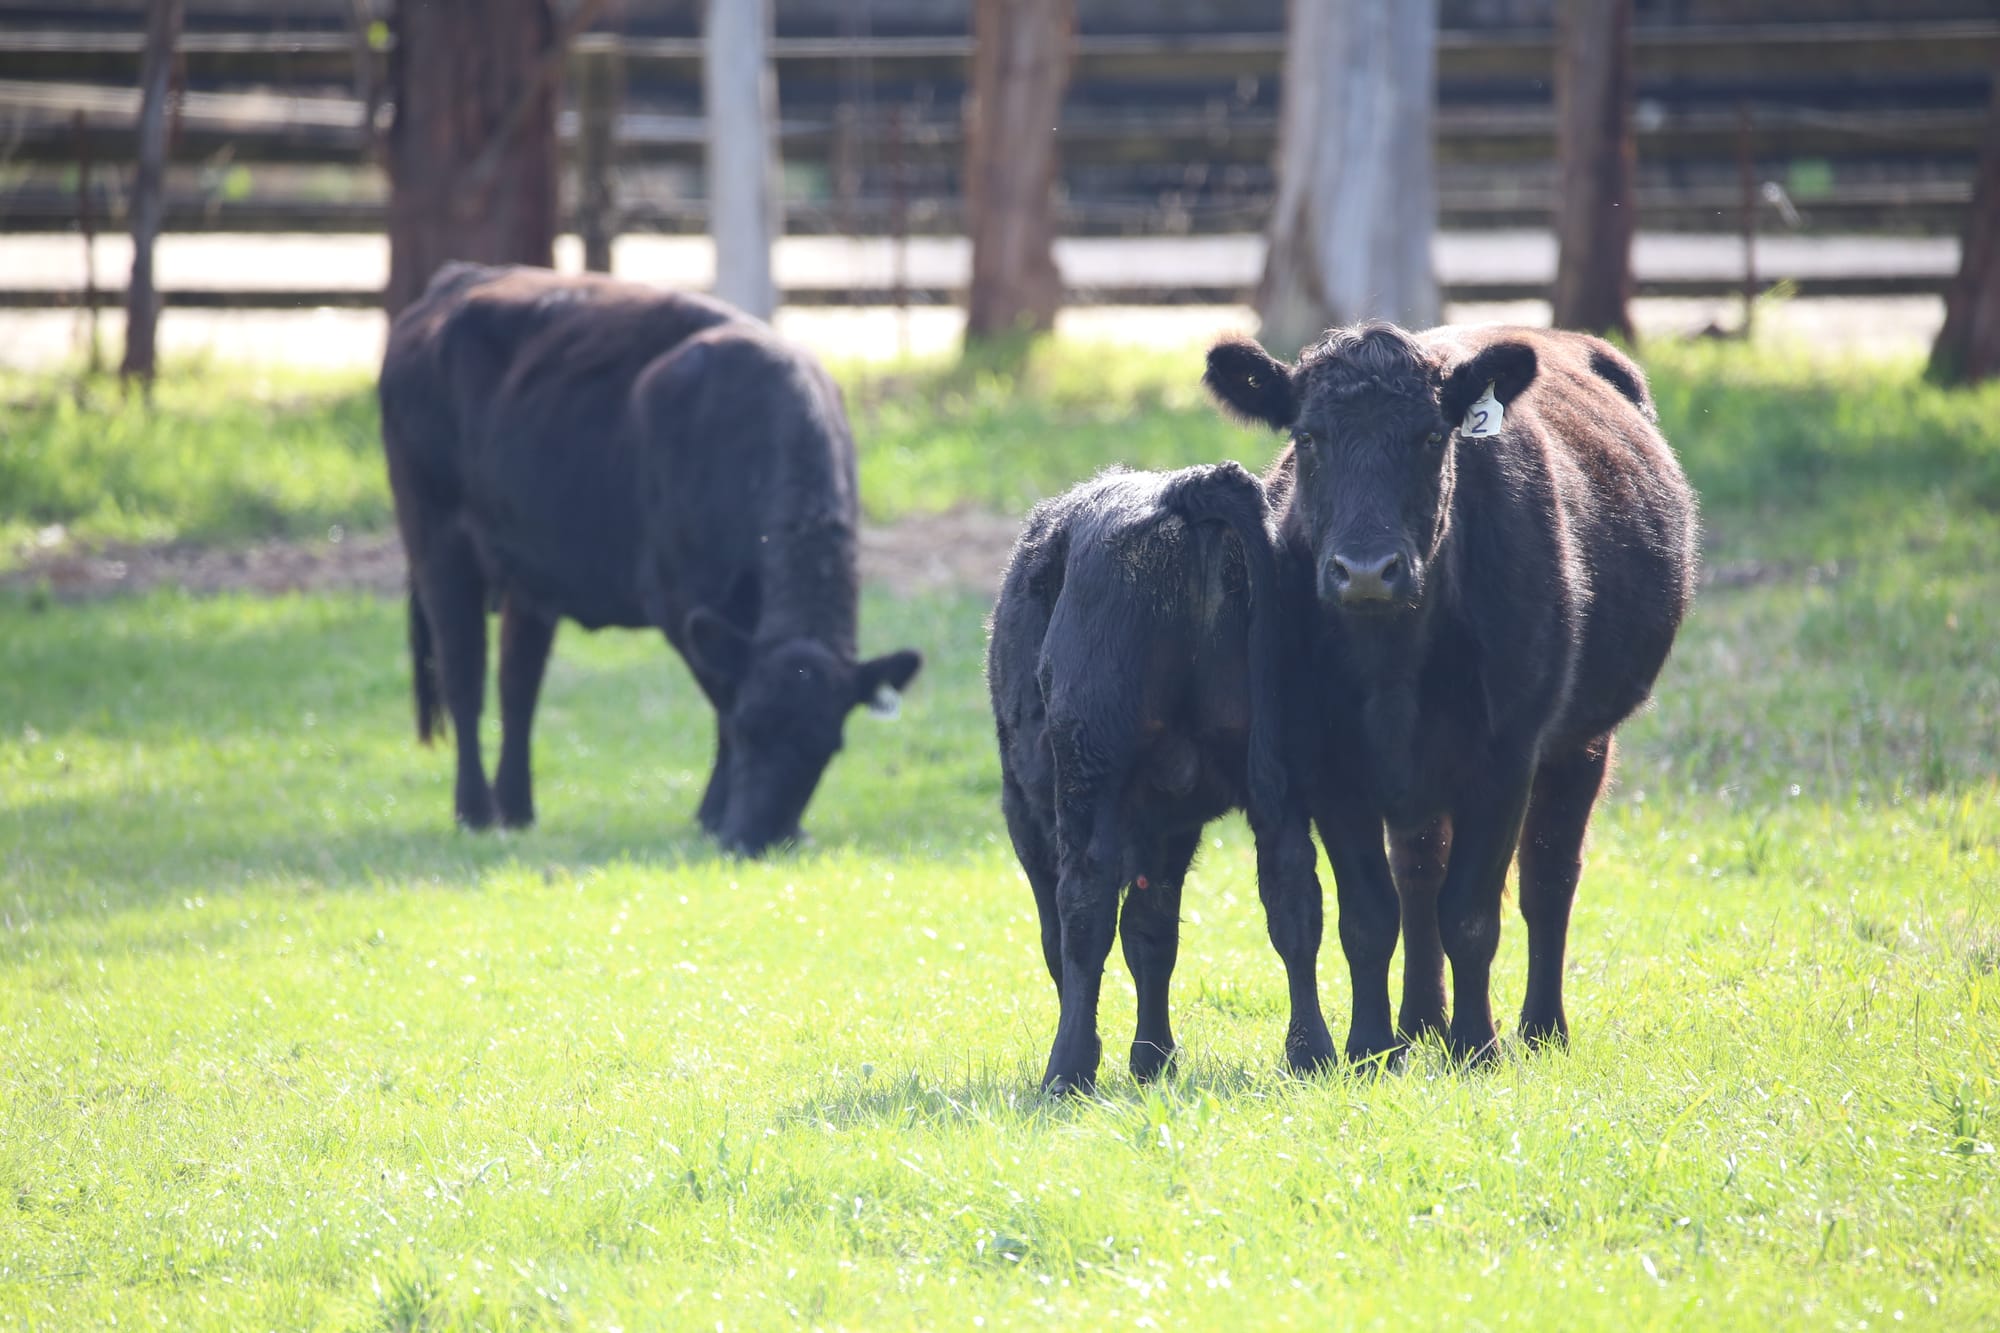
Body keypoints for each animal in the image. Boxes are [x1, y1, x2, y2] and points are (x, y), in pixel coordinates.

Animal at [379, 263, 922, 855]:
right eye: (751, 728)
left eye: (828, 746)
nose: (756, 837)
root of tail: (458, 279)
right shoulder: (680, 603)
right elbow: (722, 701)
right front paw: (713, 815)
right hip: (436, 539)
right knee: (464, 677)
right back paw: (475, 812)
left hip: (529, 572)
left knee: (518, 686)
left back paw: (517, 809)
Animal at [988, 462, 1333, 1094]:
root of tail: (1186, 486)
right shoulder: (1171, 824)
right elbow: (1152, 935)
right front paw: (1153, 1057)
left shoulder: (1024, 810)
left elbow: (1069, 937)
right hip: (1283, 772)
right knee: (1293, 896)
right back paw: (1310, 1052)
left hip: (1087, 767)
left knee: (1084, 908)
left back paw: (1067, 1069)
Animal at [1203, 322, 1698, 1065]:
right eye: (1309, 436)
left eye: (1433, 436)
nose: (1366, 570)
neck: (1392, 663)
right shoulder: (1328, 765)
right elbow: (1370, 915)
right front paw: (1371, 1047)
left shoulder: (1506, 757)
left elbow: (1471, 912)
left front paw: (1476, 1044)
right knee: (1418, 877)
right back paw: (1417, 1023)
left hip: (1583, 742)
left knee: (1548, 878)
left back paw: (1540, 1029)